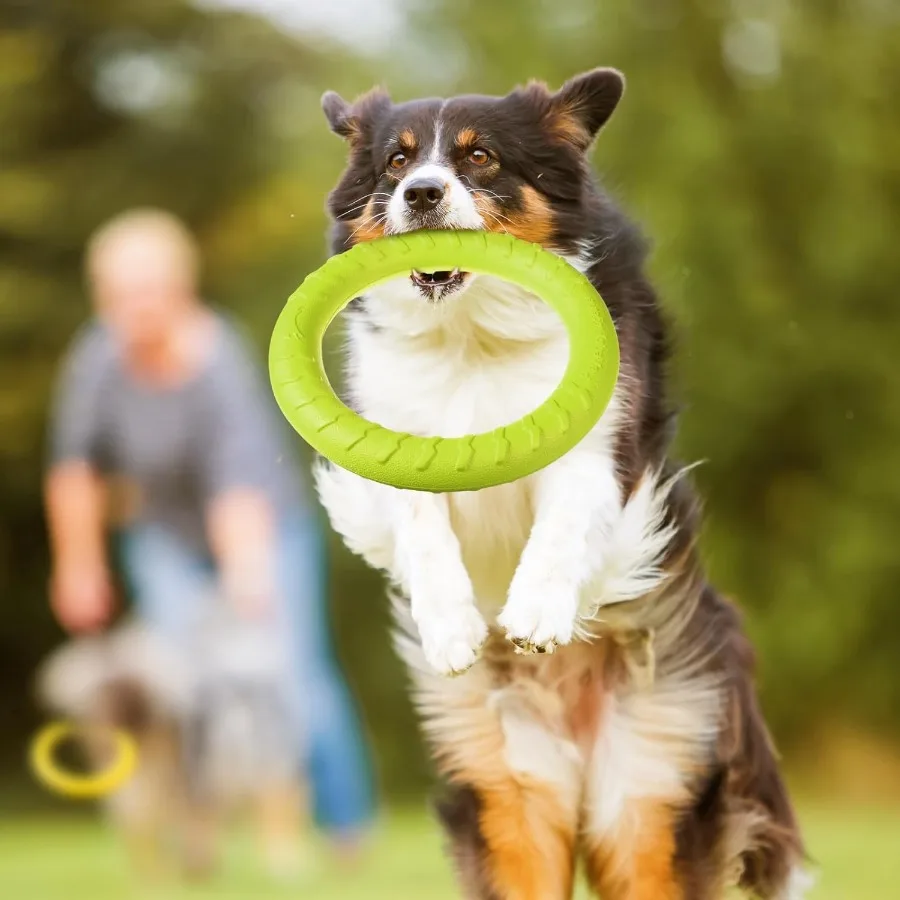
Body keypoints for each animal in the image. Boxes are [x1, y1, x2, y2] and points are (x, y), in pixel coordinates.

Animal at [37, 616, 310, 884]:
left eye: (130, 689)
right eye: (97, 692)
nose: (109, 722)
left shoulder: (190, 788)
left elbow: (190, 830)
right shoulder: (136, 799)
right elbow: (144, 836)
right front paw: (155, 879)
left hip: (266, 775)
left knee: (277, 815)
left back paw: (283, 865)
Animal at [314, 67, 808, 896]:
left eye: (480, 157)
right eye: (395, 161)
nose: (421, 193)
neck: (471, 333)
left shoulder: (603, 446)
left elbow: (566, 519)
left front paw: (538, 614)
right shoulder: (392, 439)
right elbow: (420, 527)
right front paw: (451, 628)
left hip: (651, 791)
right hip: (509, 792)